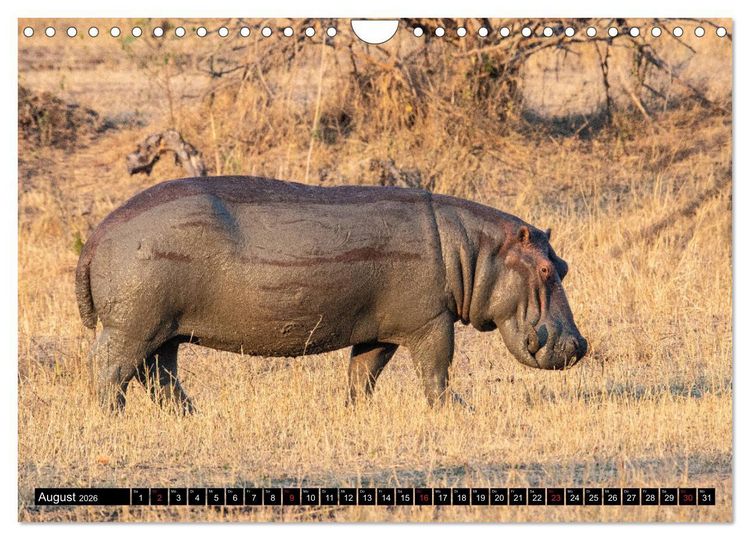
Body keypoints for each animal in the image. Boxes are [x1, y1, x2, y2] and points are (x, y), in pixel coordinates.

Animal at [75, 176, 587, 412]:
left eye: (564, 265)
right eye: (545, 269)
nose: (579, 345)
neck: (474, 249)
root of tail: (98, 233)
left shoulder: (380, 330)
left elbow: (363, 374)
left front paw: (353, 411)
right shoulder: (430, 322)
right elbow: (438, 368)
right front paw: (458, 410)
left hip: (164, 331)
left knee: (158, 376)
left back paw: (192, 417)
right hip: (133, 326)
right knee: (111, 367)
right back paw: (114, 417)